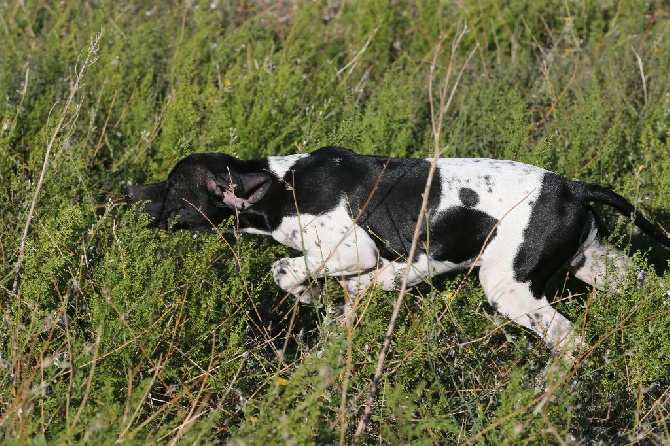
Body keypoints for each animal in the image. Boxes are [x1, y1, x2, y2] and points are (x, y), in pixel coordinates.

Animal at [127, 146, 670, 356]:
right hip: (601, 266)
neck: (282, 187)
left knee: (570, 343)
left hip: (508, 288)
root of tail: (573, 189)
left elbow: (285, 270)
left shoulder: (352, 253)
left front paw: (312, 297)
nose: (130, 195)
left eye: (174, 188)